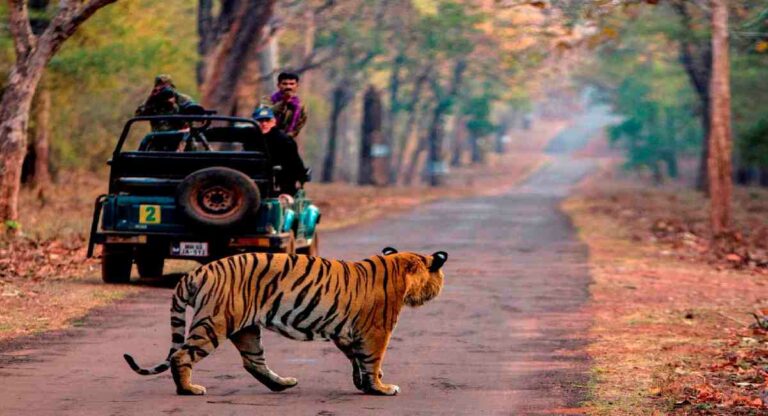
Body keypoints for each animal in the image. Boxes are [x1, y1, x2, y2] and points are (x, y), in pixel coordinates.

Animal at [123, 247, 448, 396]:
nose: (441, 287)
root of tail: (199, 271)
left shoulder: (347, 334)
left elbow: (357, 360)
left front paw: (364, 383)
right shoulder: (376, 331)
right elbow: (372, 360)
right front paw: (380, 387)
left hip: (246, 328)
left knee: (253, 361)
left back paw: (282, 384)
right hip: (214, 322)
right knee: (181, 355)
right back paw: (188, 389)